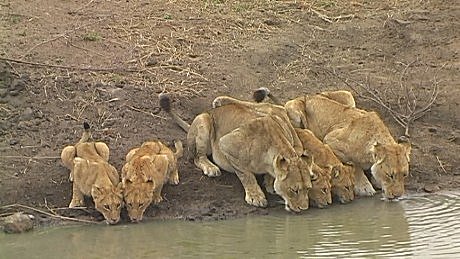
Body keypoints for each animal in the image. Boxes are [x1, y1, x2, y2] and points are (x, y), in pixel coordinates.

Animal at [159, 94, 316, 212]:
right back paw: (211, 168)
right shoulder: (226, 143)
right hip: (204, 121)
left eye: (308, 188)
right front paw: (256, 196)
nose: (303, 209)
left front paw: (269, 182)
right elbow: (246, 174)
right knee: (197, 157)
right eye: (294, 190)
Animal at [253, 88, 412, 200]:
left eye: (404, 174)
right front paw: (365, 187)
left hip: (347, 95)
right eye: (390, 175)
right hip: (295, 112)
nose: (398, 196)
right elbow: (355, 164)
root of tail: (308, 95)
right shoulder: (330, 140)